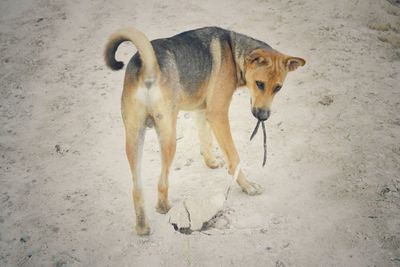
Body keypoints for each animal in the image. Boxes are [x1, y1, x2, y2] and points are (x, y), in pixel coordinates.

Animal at [104, 26, 306, 237]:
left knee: (137, 189)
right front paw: (247, 186)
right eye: (260, 84)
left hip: (134, 137)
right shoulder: (218, 114)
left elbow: (205, 140)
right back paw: (164, 207)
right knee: (162, 182)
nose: (263, 117)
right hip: (168, 137)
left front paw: (211, 162)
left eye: (278, 88)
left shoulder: (202, 111)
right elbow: (234, 158)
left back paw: (142, 227)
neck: (233, 51)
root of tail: (147, 65)